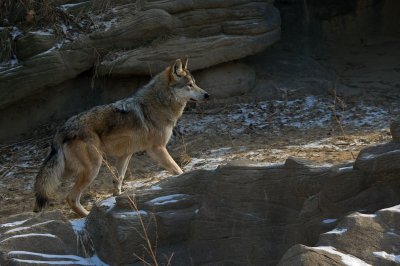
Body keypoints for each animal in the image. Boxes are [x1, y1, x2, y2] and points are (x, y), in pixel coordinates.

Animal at [33, 57, 209, 216]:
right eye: (190, 85)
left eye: (195, 83)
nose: (207, 95)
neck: (159, 102)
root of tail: (61, 130)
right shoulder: (157, 149)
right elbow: (177, 169)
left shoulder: (126, 154)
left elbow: (118, 180)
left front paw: (116, 200)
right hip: (93, 167)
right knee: (70, 198)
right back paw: (86, 216)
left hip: (67, 170)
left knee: (43, 185)